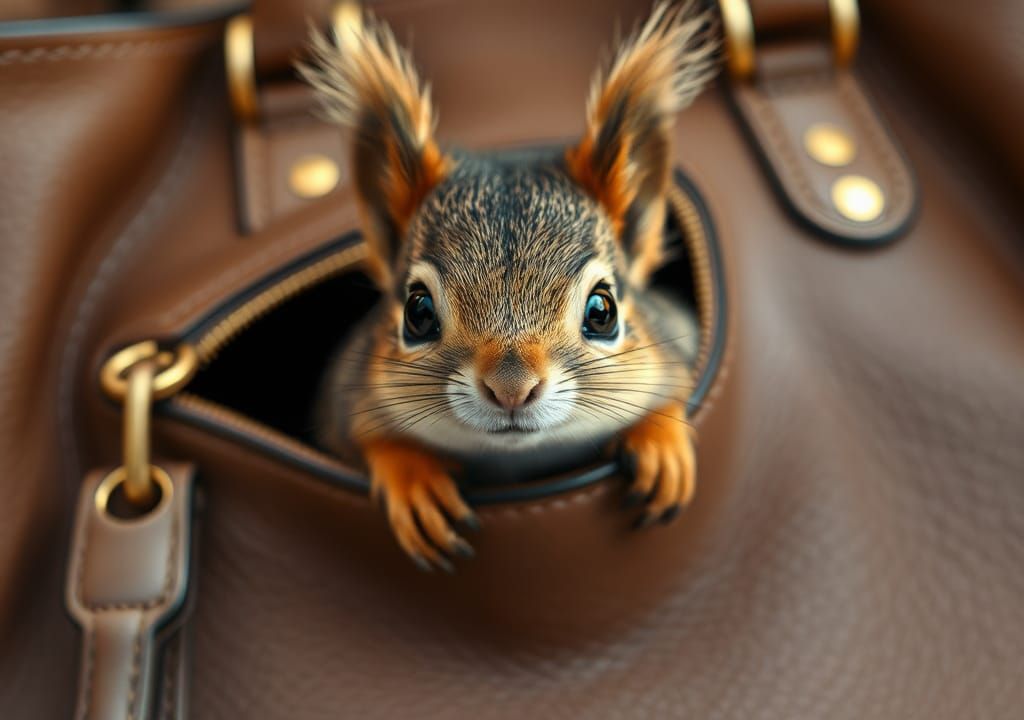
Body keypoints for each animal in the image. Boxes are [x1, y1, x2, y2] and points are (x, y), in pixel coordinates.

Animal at [301, 1, 719, 571]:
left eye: (603, 310)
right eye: (417, 313)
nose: (511, 387)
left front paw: (660, 440)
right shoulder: (345, 389)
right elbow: (366, 431)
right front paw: (413, 478)